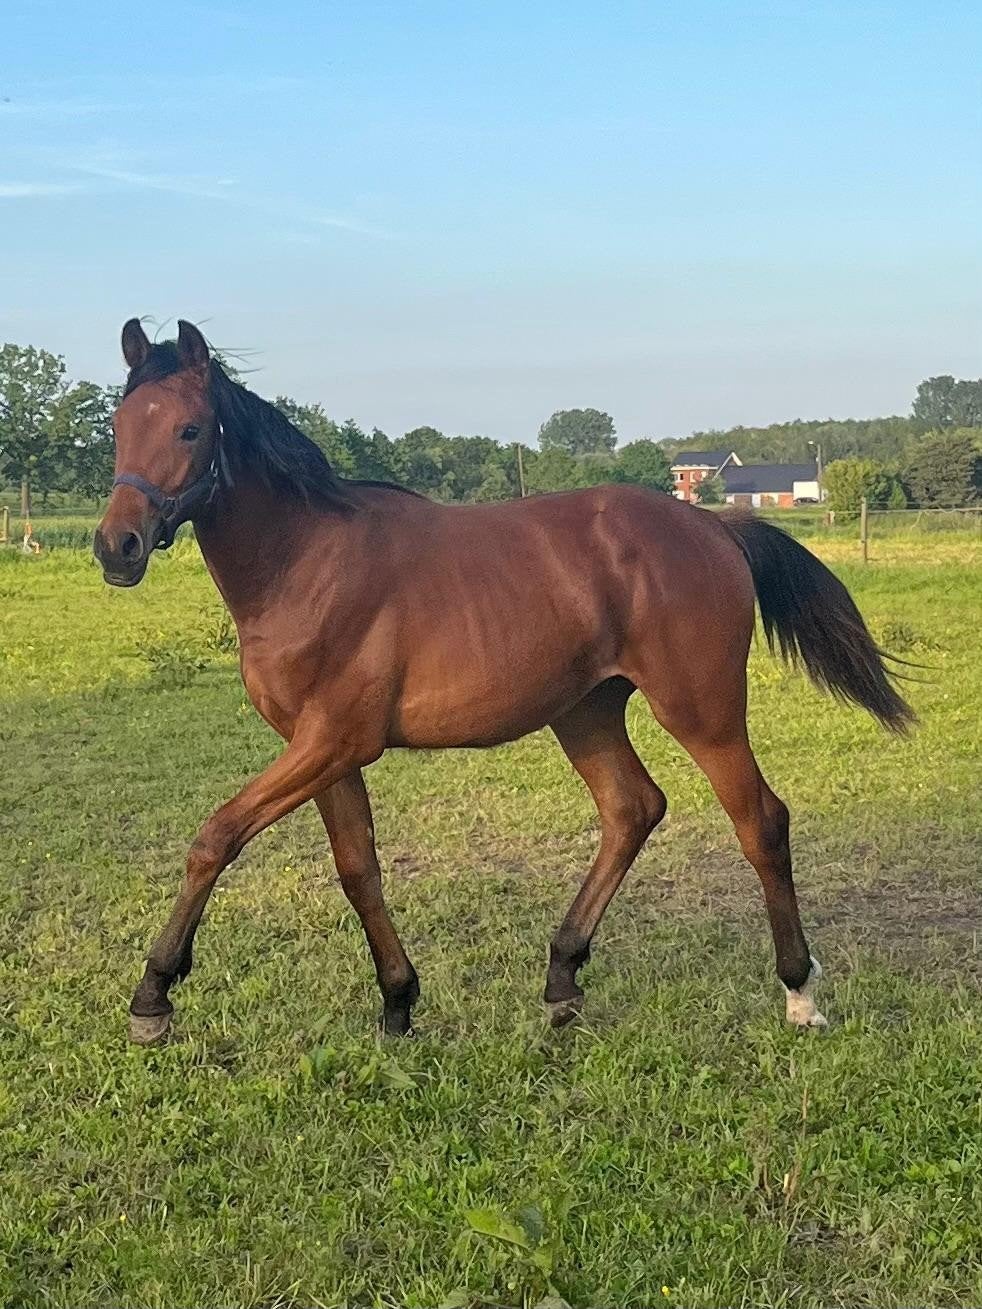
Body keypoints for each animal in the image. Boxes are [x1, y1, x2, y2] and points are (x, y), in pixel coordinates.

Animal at [94, 319, 913, 1044]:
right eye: (119, 427)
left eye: (191, 430)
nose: (116, 546)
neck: (307, 562)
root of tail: (712, 527)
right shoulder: (324, 751)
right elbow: (358, 869)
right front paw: (398, 1002)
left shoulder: (332, 741)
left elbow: (216, 837)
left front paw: (154, 995)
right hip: (585, 711)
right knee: (632, 808)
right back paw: (562, 978)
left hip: (701, 710)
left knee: (759, 820)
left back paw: (800, 991)